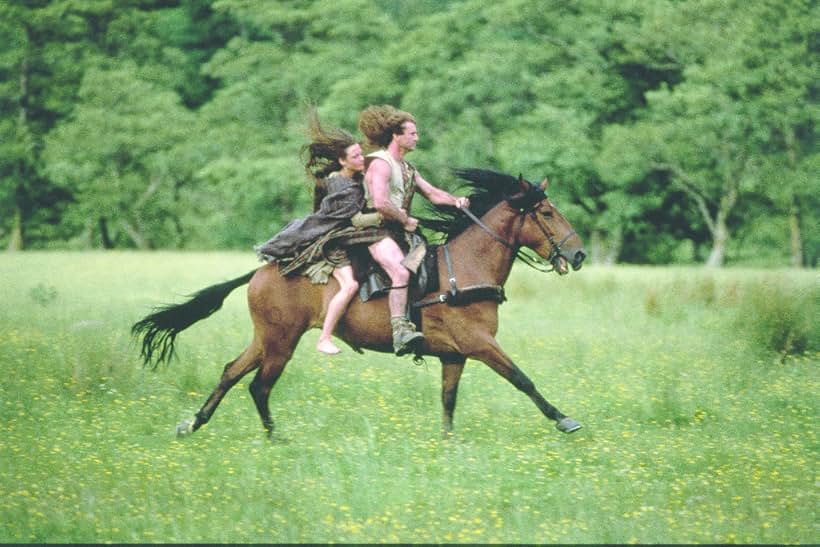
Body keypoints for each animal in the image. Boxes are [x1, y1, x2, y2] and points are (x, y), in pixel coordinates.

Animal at [131, 169, 588, 438]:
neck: (464, 269)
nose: (579, 254)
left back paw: (193, 423)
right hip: (281, 343)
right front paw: (564, 419)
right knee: (258, 386)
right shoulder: (480, 344)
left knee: (230, 373)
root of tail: (263, 271)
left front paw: (448, 442)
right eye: (548, 212)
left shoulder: (454, 356)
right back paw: (275, 438)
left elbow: (449, 400)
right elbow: (523, 379)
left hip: (266, 340)